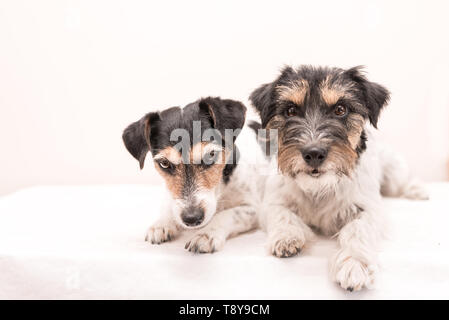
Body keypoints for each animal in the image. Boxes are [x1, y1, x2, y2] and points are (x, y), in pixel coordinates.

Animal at [121, 97, 264, 252]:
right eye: (164, 163)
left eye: (210, 155)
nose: (192, 218)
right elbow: (170, 205)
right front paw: (162, 223)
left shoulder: (253, 209)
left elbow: (227, 214)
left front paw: (206, 234)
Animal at [248, 65, 428, 292]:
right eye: (290, 111)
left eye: (341, 109)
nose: (313, 153)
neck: (319, 188)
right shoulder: (272, 202)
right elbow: (283, 215)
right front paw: (287, 237)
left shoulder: (369, 210)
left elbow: (357, 229)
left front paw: (355, 264)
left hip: (394, 172)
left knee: (404, 180)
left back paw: (418, 190)